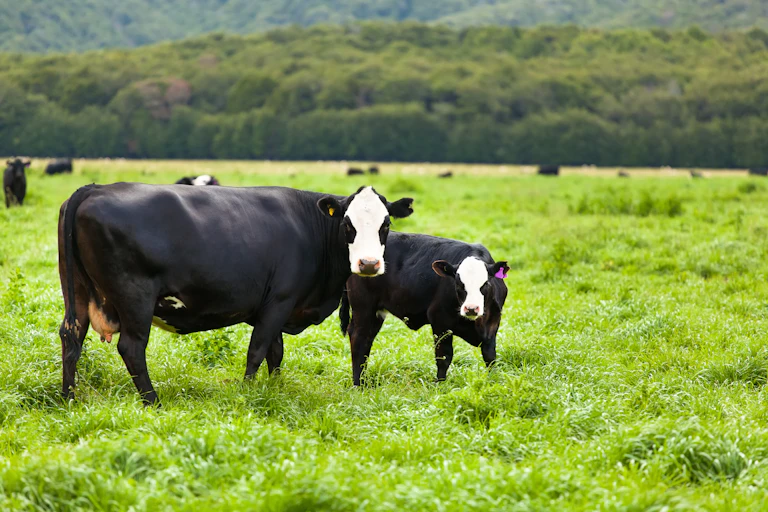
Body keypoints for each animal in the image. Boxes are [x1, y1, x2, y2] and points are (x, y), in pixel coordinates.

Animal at [58, 185, 414, 405]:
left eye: (385, 224)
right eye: (348, 224)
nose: (368, 263)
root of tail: (95, 188)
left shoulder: (277, 307)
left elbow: (275, 353)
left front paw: (275, 389)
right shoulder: (279, 301)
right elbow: (257, 351)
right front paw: (248, 393)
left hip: (77, 292)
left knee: (71, 337)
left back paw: (69, 398)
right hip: (136, 298)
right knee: (131, 348)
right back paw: (153, 402)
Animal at [340, 233, 509, 386]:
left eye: (485, 283)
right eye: (458, 283)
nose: (471, 308)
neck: (478, 323)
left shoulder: (493, 324)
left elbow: (490, 356)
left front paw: (493, 382)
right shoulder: (440, 321)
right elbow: (444, 357)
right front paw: (440, 385)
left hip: (375, 313)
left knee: (367, 340)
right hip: (363, 306)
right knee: (359, 338)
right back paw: (359, 384)